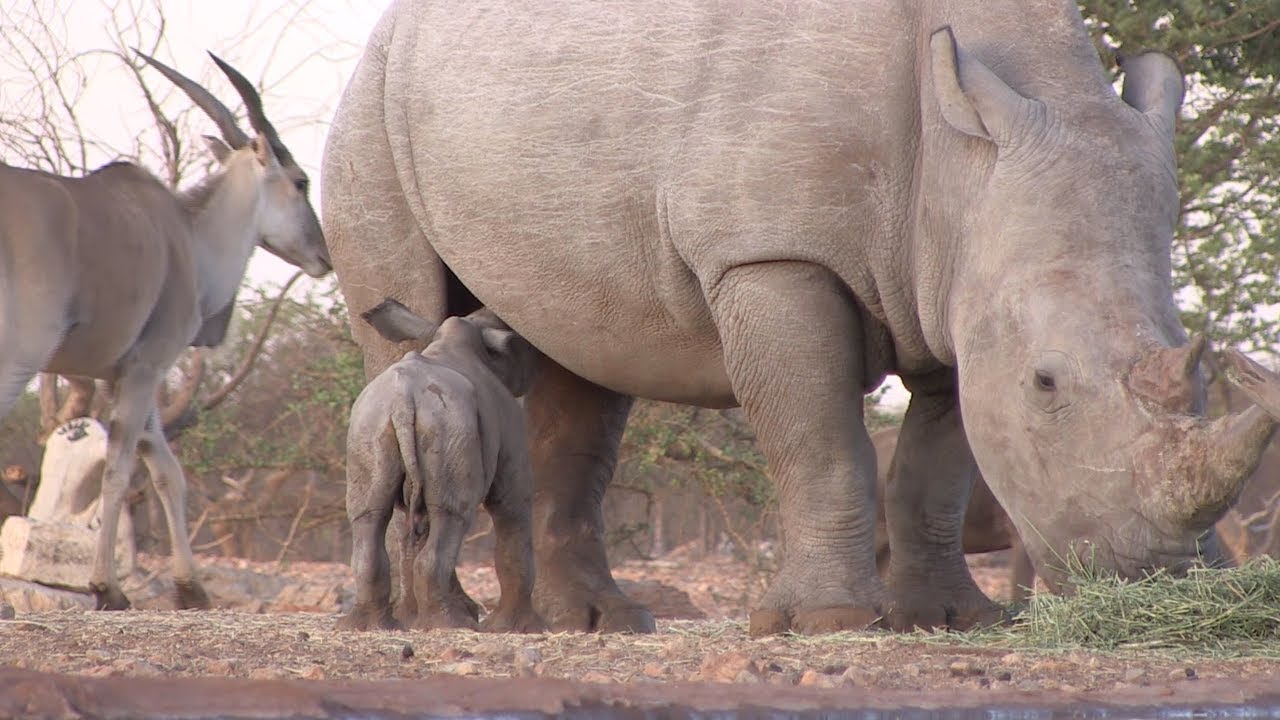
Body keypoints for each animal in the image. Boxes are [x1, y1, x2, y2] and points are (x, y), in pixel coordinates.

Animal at [340, 301, 544, 633]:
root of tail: (403, 398)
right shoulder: (511, 431)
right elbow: (513, 507)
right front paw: (518, 628)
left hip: (372, 420)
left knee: (370, 513)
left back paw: (369, 627)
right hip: (447, 423)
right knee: (452, 513)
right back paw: (451, 625)